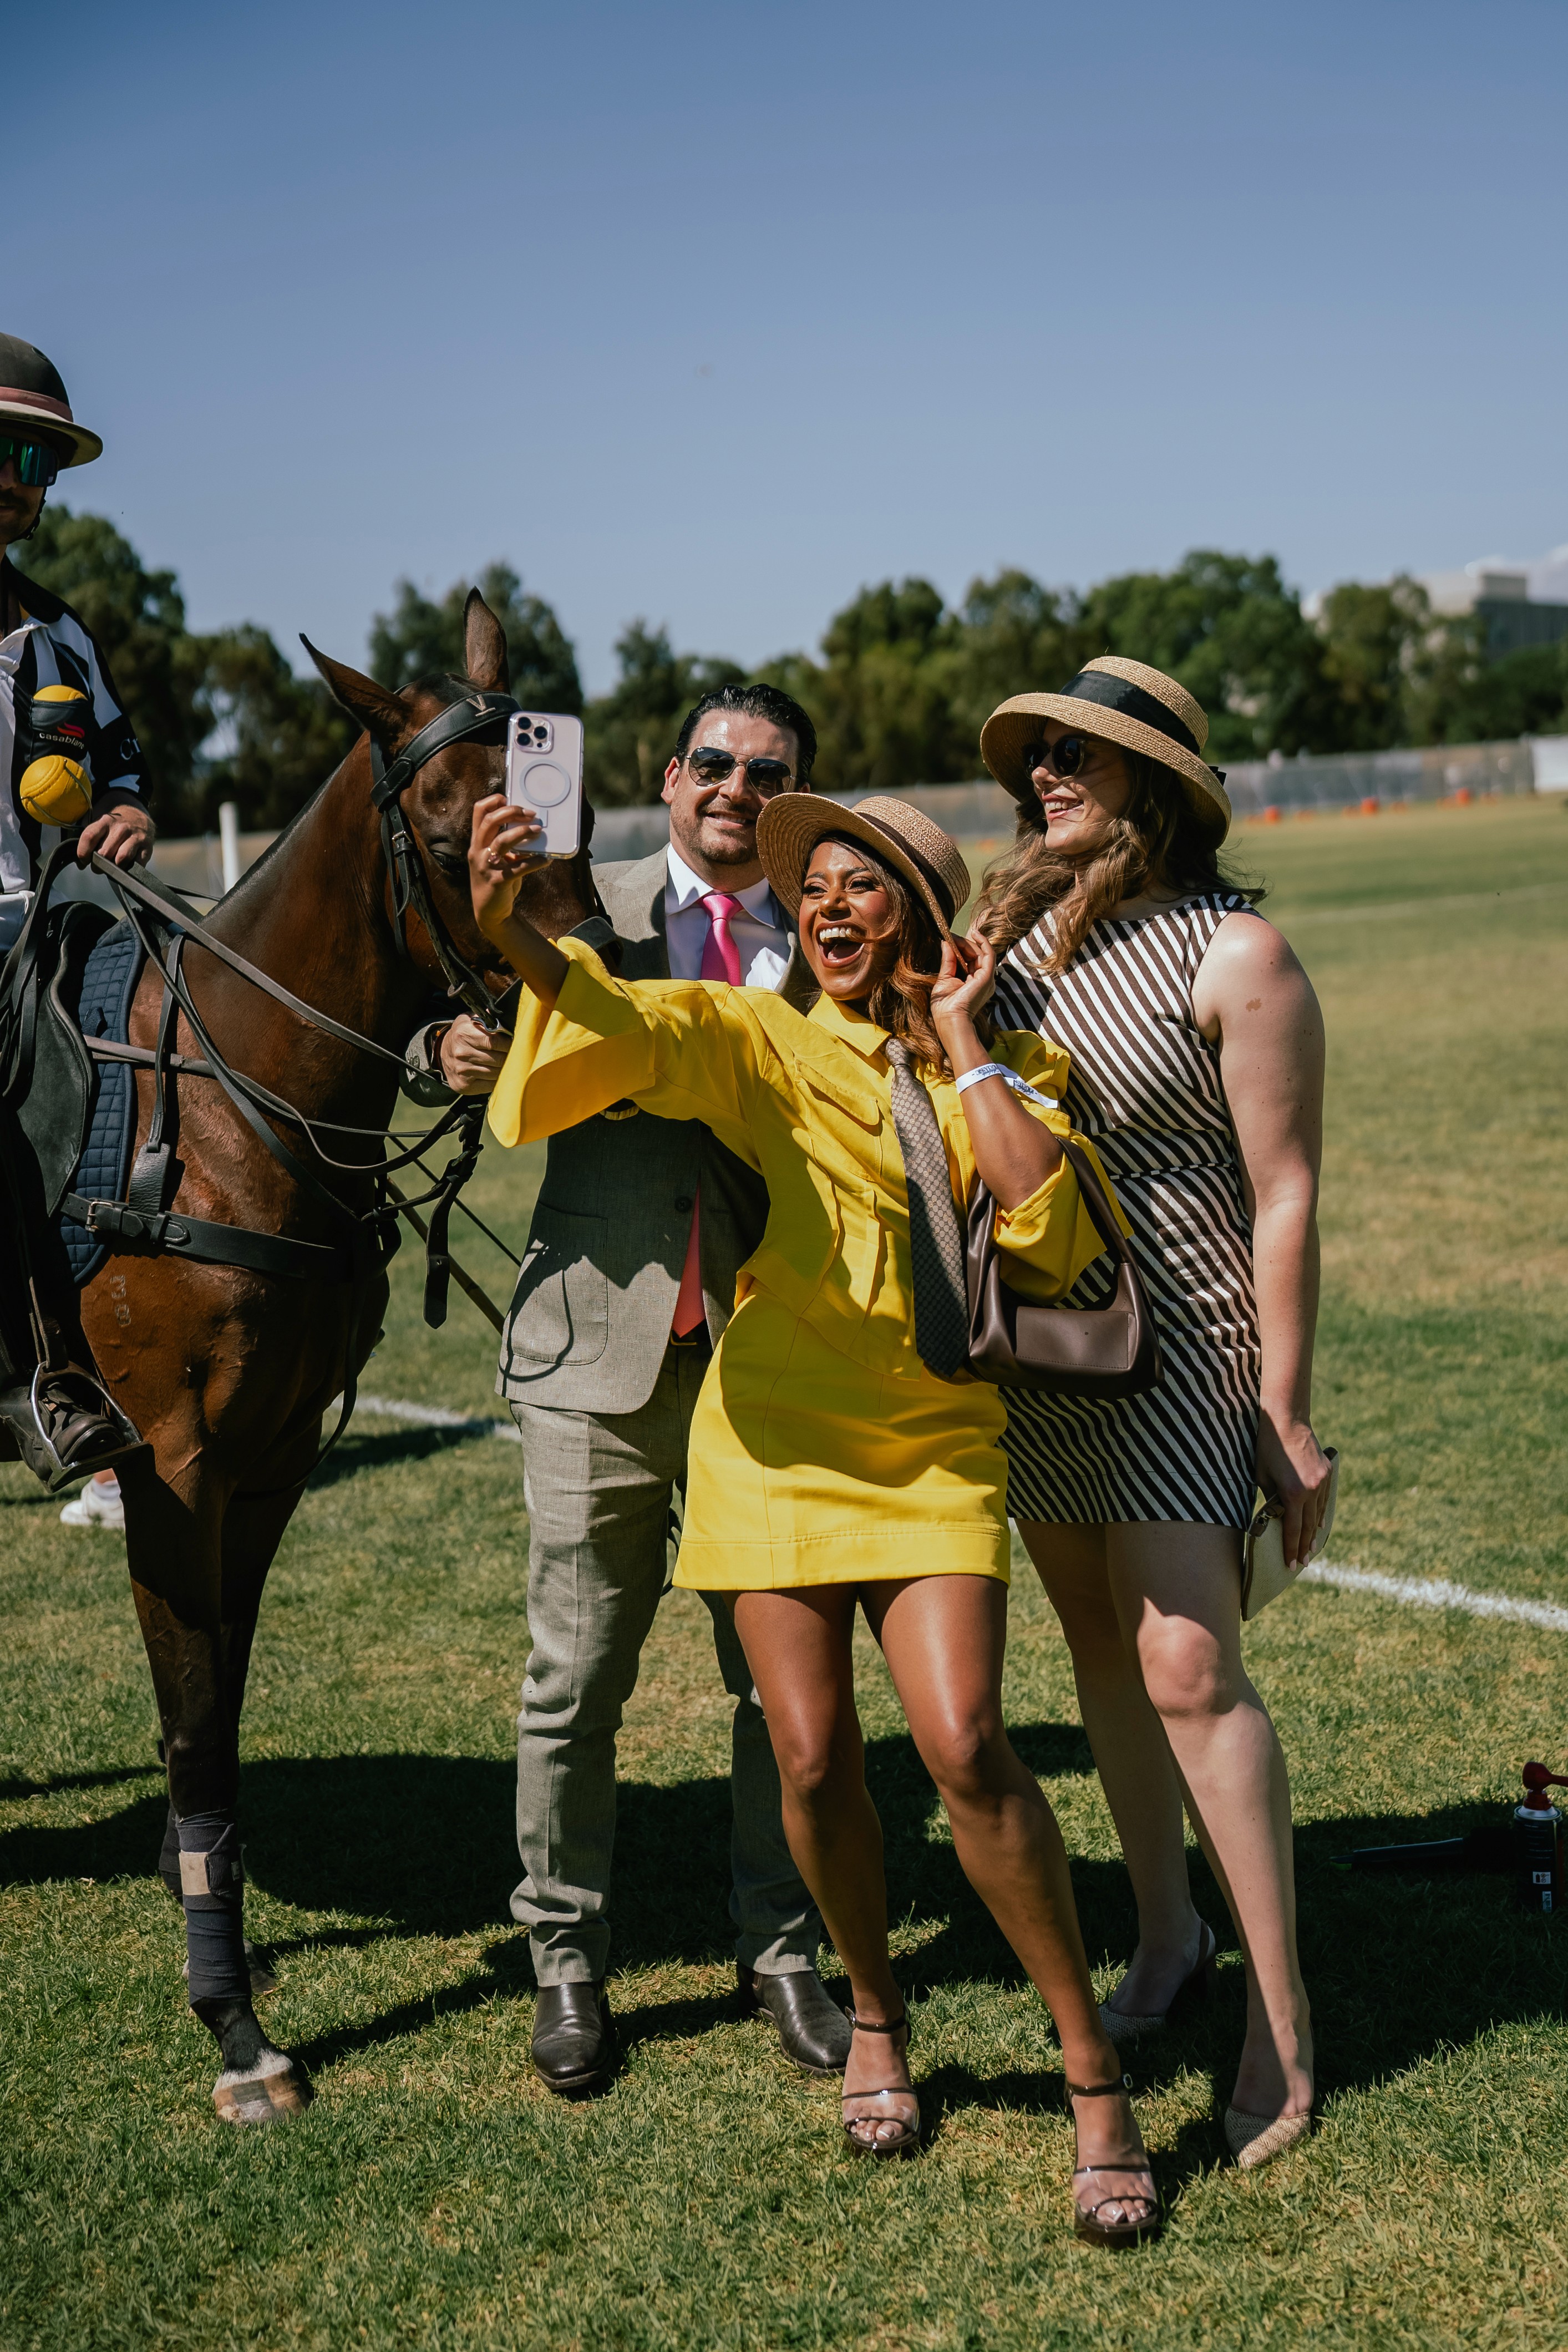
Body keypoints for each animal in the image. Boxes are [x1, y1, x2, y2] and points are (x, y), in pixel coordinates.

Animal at [75, 591, 595, 2122]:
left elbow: (224, 1698)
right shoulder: (169, 1461)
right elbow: (195, 1718)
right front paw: (234, 2024)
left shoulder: (271, 1458)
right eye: (452, 821)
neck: (235, 1109)